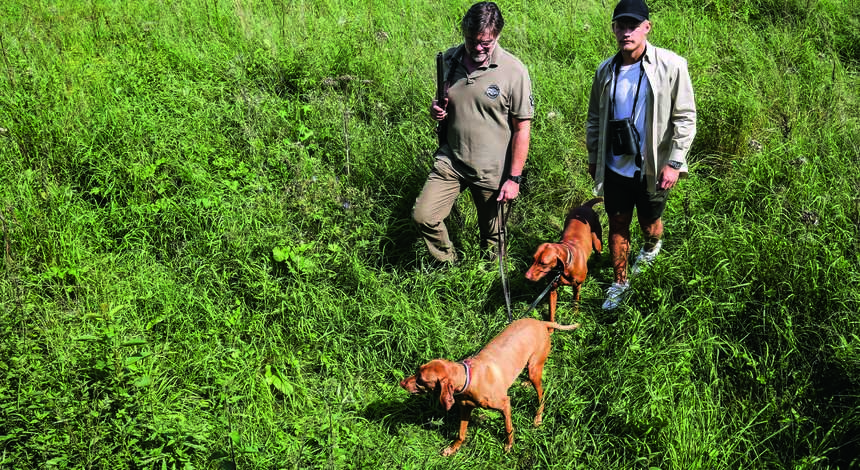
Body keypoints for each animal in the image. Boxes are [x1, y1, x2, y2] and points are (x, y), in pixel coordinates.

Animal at [400, 318, 580, 454]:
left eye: (421, 380)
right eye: (418, 370)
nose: (402, 383)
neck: (470, 378)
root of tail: (540, 322)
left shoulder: (505, 404)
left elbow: (508, 428)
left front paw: (509, 445)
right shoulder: (465, 409)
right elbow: (461, 433)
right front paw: (453, 448)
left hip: (535, 368)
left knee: (541, 396)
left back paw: (538, 417)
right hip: (530, 366)